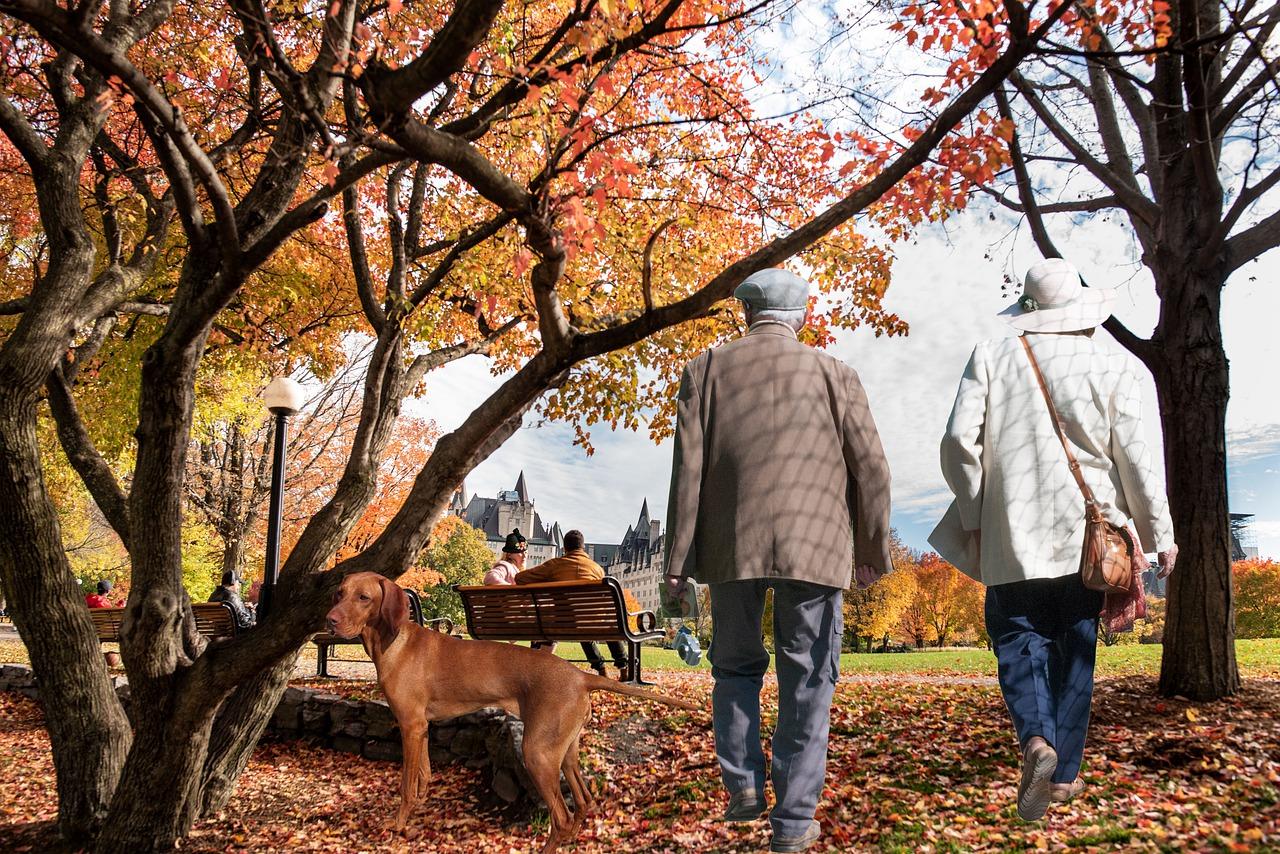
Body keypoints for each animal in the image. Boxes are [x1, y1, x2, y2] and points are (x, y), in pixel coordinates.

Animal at [325, 571, 696, 850]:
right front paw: (417, 807)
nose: (329, 621)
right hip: (564, 751)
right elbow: (423, 776)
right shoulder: (422, 728)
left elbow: (405, 784)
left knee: (561, 817)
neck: (393, 641)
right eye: (340, 593)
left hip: (537, 753)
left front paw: (399, 824)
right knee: (584, 802)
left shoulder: (410, 725)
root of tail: (579, 675)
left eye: (364, 598)